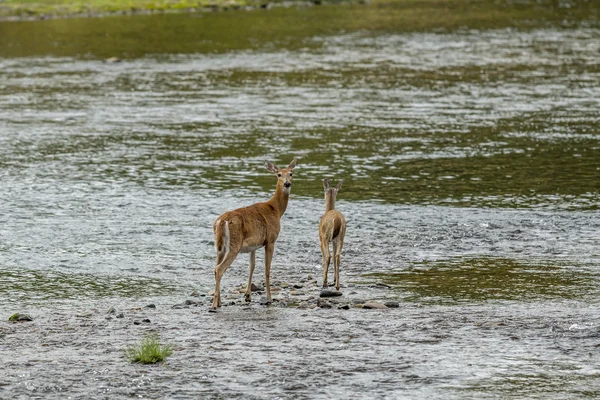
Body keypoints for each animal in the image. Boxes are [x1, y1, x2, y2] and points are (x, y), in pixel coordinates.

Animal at [210, 159, 296, 312]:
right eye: (279, 174)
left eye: (291, 173)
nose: (287, 183)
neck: (275, 209)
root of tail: (222, 221)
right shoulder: (271, 240)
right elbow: (267, 269)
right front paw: (269, 298)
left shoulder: (253, 246)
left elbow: (252, 266)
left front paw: (247, 295)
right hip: (234, 245)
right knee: (219, 269)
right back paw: (215, 305)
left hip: (220, 246)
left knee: (215, 267)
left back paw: (218, 301)